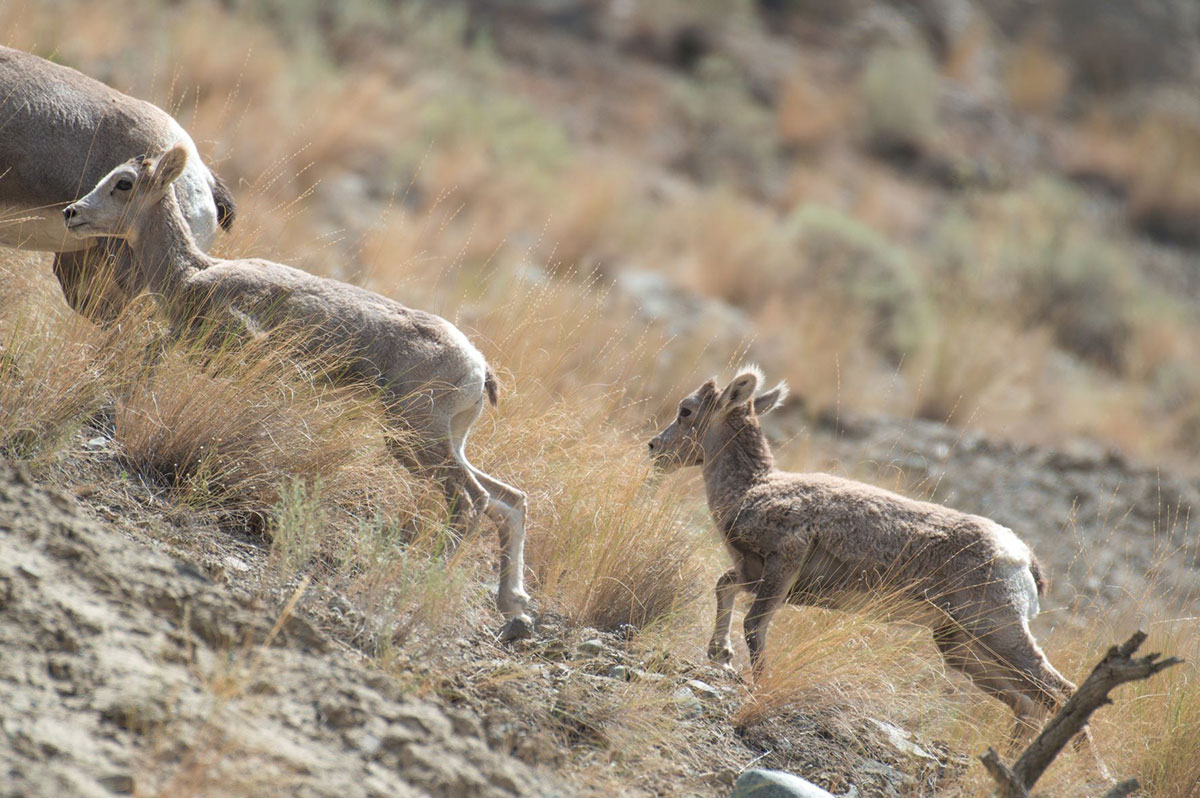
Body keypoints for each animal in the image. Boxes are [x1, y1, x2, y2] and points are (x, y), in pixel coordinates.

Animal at [63, 146, 532, 638]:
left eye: (124, 183)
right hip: (433, 443)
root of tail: (478, 368)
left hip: (420, 439)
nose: (71, 213)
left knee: (472, 503)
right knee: (509, 501)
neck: (191, 275)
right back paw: (512, 603)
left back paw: (425, 579)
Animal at [652, 369, 1094, 744]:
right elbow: (723, 587)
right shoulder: (752, 573)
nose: (655, 447)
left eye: (686, 410)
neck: (750, 489)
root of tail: (1020, 556)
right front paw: (721, 656)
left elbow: (754, 627)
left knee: (1059, 691)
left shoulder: (782, 565)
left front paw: (752, 680)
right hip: (959, 645)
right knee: (1027, 703)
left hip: (997, 631)